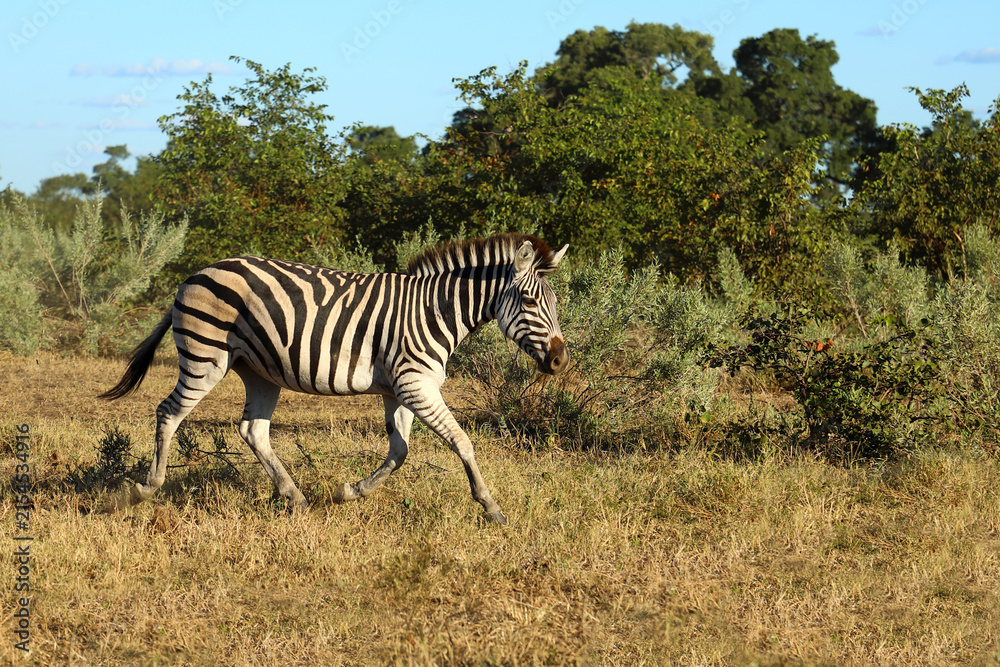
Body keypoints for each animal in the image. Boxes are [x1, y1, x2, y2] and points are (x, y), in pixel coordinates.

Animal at [99, 233, 569, 524]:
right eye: (531, 301)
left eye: (554, 302)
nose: (561, 360)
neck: (434, 311)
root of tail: (196, 273)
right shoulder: (415, 383)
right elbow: (462, 441)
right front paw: (491, 507)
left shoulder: (400, 388)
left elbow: (399, 451)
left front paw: (349, 492)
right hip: (205, 357)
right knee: (168, 413)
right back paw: (143, 490)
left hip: (258, 370)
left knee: (252, 430)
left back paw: (295, 498)